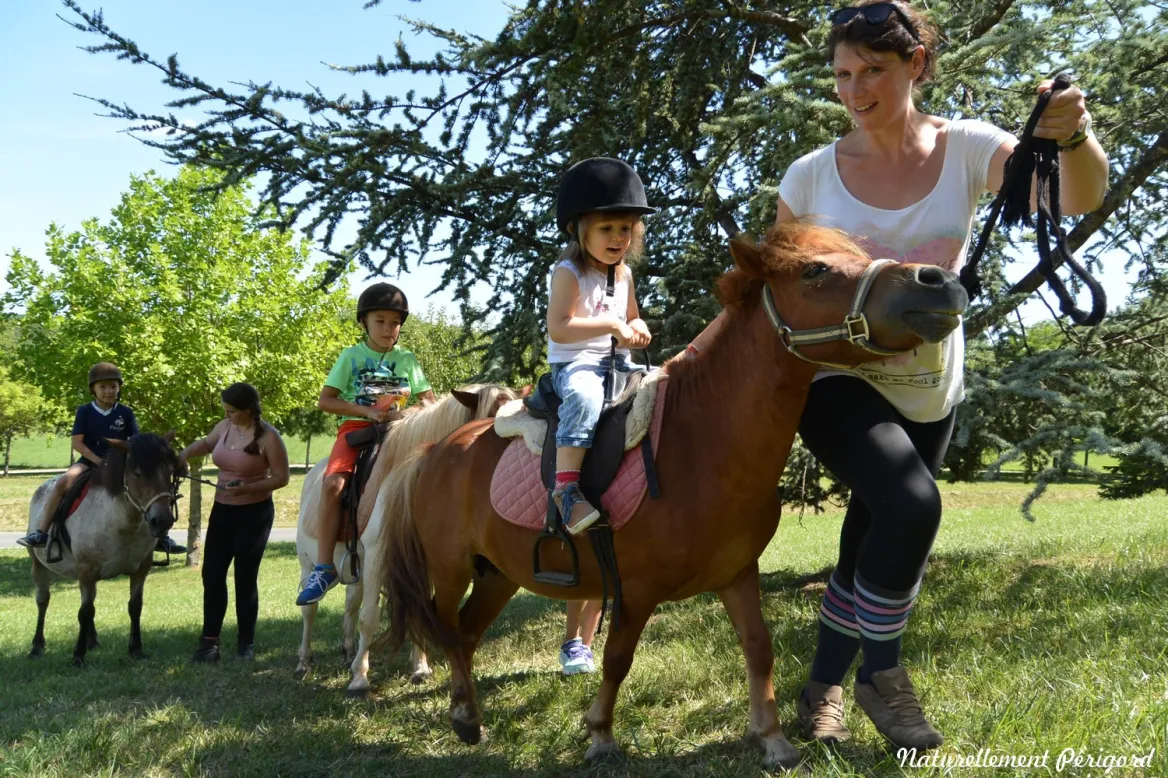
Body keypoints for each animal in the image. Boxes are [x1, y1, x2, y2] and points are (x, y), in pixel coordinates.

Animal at [26, 432, 180, 667]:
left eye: (170, 470)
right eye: (137, 473)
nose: (162, 521)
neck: (122, 521)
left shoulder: (140, 569)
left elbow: (134, 606)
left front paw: (136, 649)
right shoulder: (86, 571)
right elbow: (85, 612)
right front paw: (78, 656)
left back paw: (92, 641)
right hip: (38, 565)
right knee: (43, 600)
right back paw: (37, 647)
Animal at [294, 383, 520, 695]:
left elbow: (421, 610)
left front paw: (420, 668)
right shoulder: (377, 554)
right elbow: (370, 617)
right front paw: (360, 678)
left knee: (351, 601)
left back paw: (348, 650)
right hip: (309, 562)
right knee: (310, 610)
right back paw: (304, 661)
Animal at [376, 222, 969, 770]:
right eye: (814, 270)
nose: (938, 281)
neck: (700, 440)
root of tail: (436, 449)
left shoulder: (739, 574)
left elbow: (759, 649)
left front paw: (773, 739)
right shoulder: (636, 590)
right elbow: (617, 658)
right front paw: (601, 735)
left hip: (499, 573)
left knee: (467, 634)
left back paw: (468, 714)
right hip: (451, 567)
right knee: (447, 629)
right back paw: (463, 715)